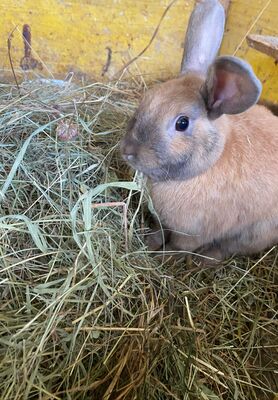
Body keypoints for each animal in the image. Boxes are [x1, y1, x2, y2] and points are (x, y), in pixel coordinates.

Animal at [120, 0, 278, 262]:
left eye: (182, 123)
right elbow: (159, 230)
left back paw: (204, 261)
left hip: (254, 233)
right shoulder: (163, 220)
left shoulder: (192, 234)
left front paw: (163, 258)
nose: (128, 151)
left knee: (227, 249)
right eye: (148, 98)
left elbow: (179, 246)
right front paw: (150, 242)